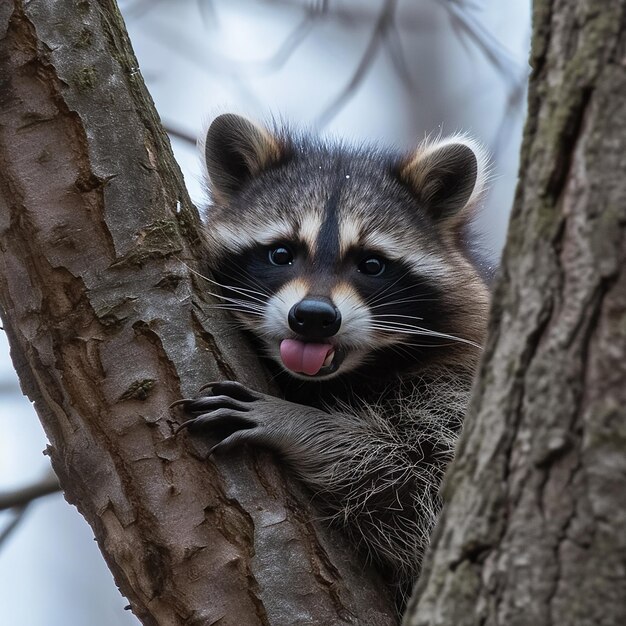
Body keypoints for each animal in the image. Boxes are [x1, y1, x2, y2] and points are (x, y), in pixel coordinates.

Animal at [174, 113, 488, 600]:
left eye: (372, 264)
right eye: (281, 253)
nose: (314, 317)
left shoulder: (463, 383)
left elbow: (416, 479)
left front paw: (300, 424)